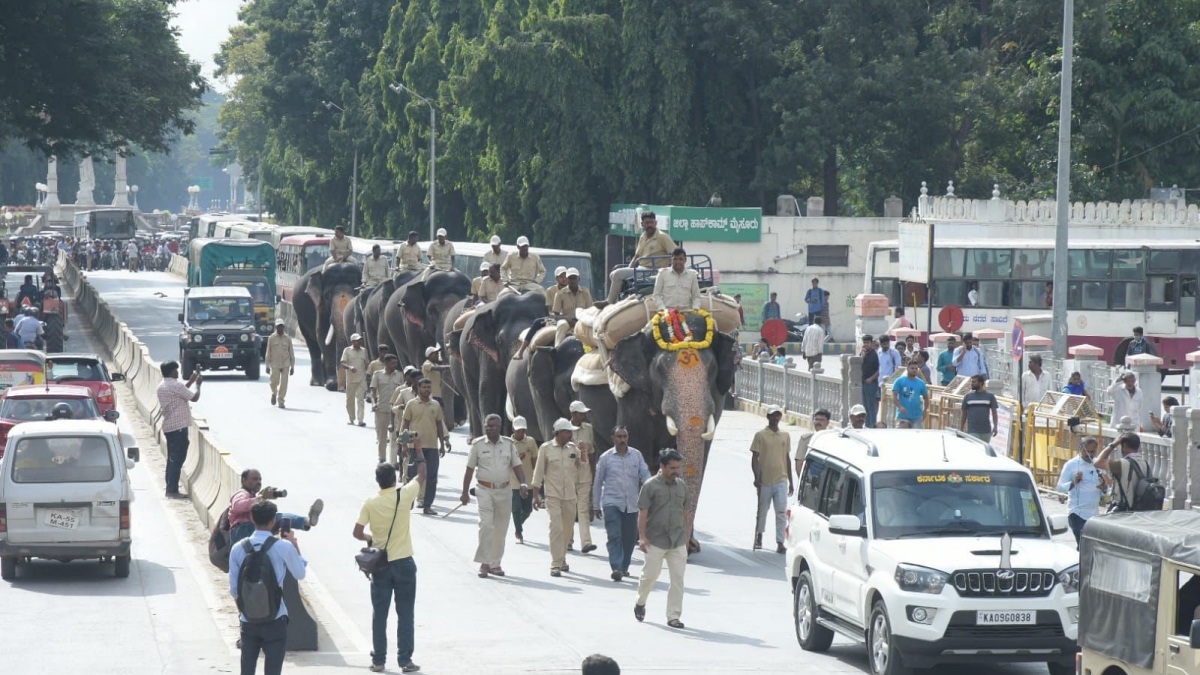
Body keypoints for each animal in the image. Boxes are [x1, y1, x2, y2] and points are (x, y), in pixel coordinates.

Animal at [609, 312, 739, 550]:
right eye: (660, 370)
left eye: (712, 370)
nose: (687, 547)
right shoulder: (633, 396)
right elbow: (638, 449)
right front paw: (641, 539)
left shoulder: (717, 397)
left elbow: (702, 456)